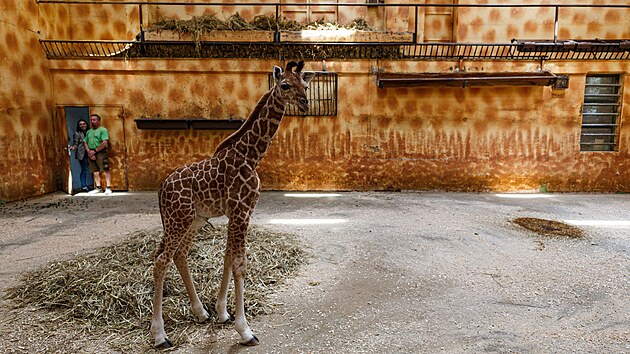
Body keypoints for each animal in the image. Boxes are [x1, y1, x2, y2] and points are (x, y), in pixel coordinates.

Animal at [153, 61, 316, 348]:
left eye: (305, 85)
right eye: (285, 85)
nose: (304, 102)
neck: (251, 156)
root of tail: (162, 187)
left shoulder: (239, 212)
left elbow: (228, 258)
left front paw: (222, 313)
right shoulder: (240, 211)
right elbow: (239, 265)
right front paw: (245, 331)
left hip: (192, 220)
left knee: (178, 254)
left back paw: (201, 313)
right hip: (178, 219)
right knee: (161, 259)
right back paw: (160, 336)